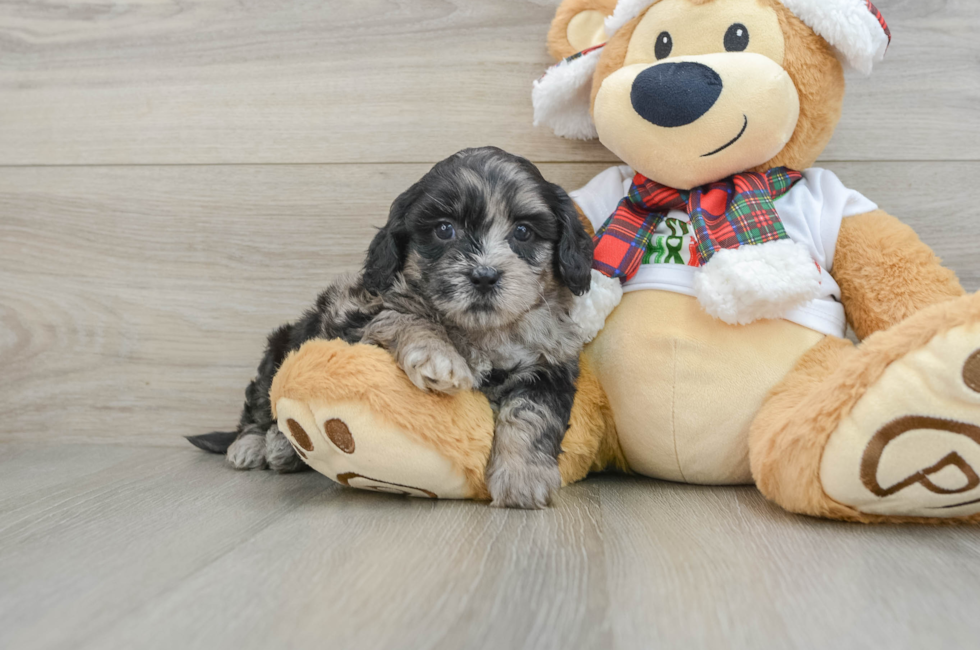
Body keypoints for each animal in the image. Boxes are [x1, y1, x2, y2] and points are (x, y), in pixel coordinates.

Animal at [187, 147, 592, 506]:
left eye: (523, 232)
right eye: (444, 229)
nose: (484, 276)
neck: (480, 331)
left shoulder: (549, 366)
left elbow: (532, 415)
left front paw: (522, 478)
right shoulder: (358, 319)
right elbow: (403, 316)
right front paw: (439, 358)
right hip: (280, 348)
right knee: (259, 405)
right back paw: (257, 445)